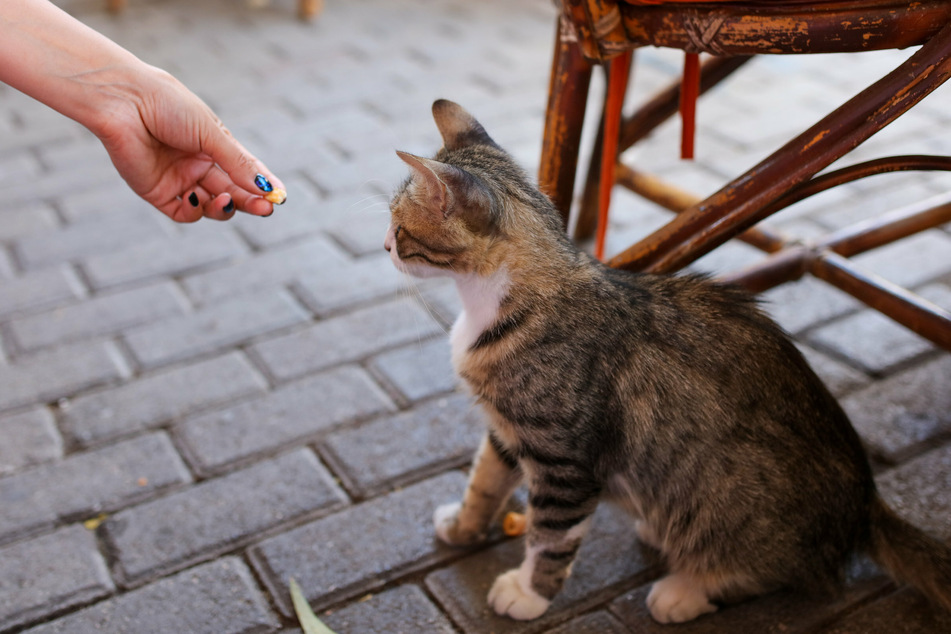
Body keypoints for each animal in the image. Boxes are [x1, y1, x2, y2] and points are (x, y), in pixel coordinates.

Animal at [384, 100, 948, 624]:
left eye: (399, 226)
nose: (386, 244)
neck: (492, 305)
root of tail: (866, 505)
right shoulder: (508, 429)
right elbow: (483, 479)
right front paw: (463, 525)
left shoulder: (565, 461)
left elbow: (550, 538)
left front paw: (529, 592)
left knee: (793, 574)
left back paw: (685, 590)